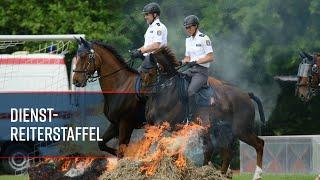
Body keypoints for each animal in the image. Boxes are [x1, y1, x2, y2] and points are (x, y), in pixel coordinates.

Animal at [142, 47, 264, 178]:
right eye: (140, 70)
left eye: (150, 72)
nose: (143, 92)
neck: (166, 89)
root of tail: (247, 95)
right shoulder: (152, 126)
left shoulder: (163, 125)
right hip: (222, 132)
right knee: (226, 153)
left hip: (242, 131)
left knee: (259, 144)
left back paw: (257, 175)